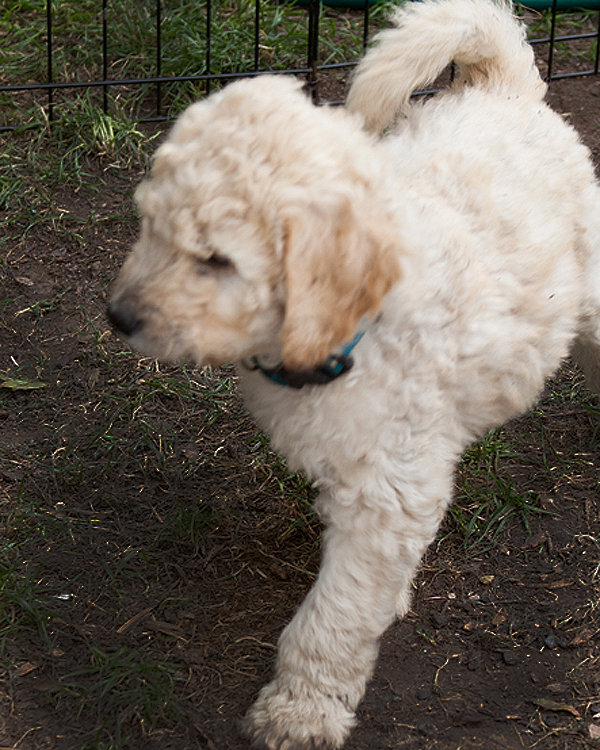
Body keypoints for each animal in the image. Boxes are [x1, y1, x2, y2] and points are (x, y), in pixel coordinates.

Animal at [108, 2, 600, 748]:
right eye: (149, 227)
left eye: (217, 260)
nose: (119, 316)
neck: (348, 331)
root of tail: (507, 89)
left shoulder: (389, 485)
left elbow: (334, 614)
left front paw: (300, 710)